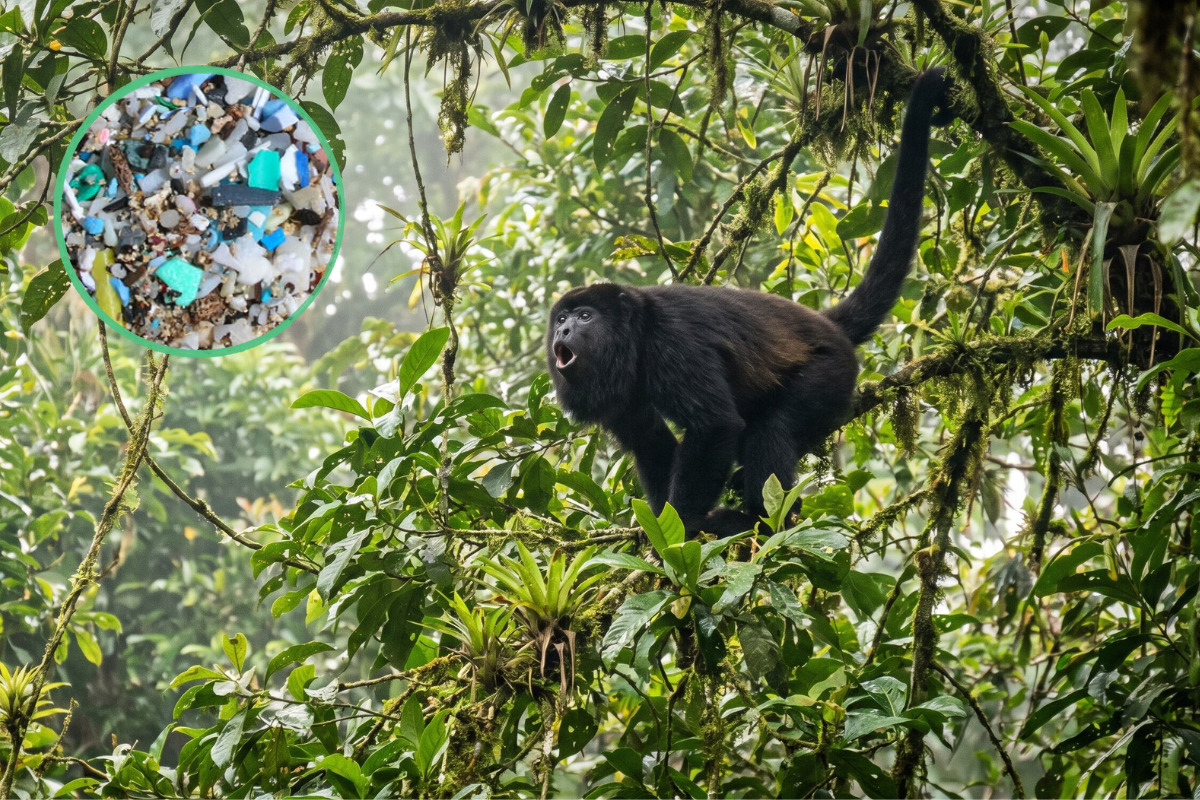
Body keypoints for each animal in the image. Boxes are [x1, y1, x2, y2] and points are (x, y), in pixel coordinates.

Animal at [546, 68, 954, 536]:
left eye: (585, 316)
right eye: (562, 317)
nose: (564, 328)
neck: (635, 338)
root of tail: (827, 326)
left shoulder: (673, 344)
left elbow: (713, 426)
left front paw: (684, 526)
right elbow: (648, 438)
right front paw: (659, 524)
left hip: (832, 370)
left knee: (772, 427)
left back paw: (760, 520)